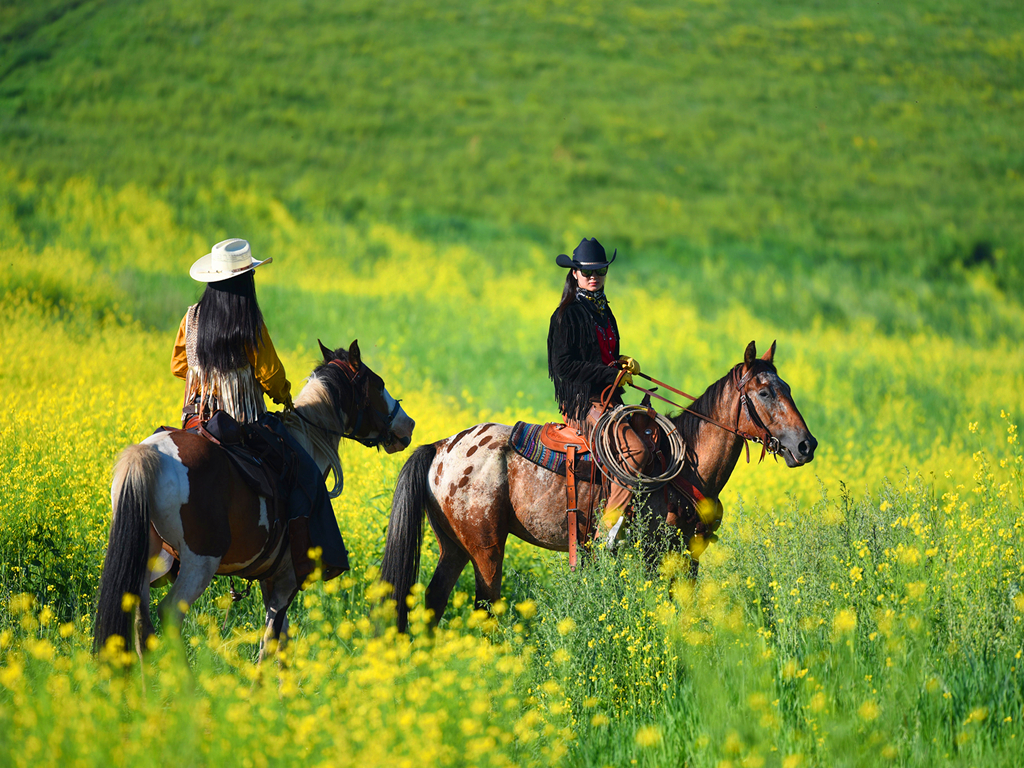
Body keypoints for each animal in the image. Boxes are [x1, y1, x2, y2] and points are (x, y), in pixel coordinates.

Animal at [94, 342, 413, 663]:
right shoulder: (287, 579)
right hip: (200, 561)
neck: (305, 441)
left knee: (140, 619)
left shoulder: (270, 579)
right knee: (170, 612)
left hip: (148, 559)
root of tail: (149, 455)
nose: (407, 424)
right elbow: (269, 645)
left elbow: (281, 642)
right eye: (378, 384)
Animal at [380, 342, 819, 630]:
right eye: (764, 391)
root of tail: (441, 446)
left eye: (787, 389)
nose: (805, 445)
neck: (685, 469)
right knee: (483, 605)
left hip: (454, 546)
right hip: (486, 548)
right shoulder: (653, 554)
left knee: (434, 601)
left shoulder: (688, 554)